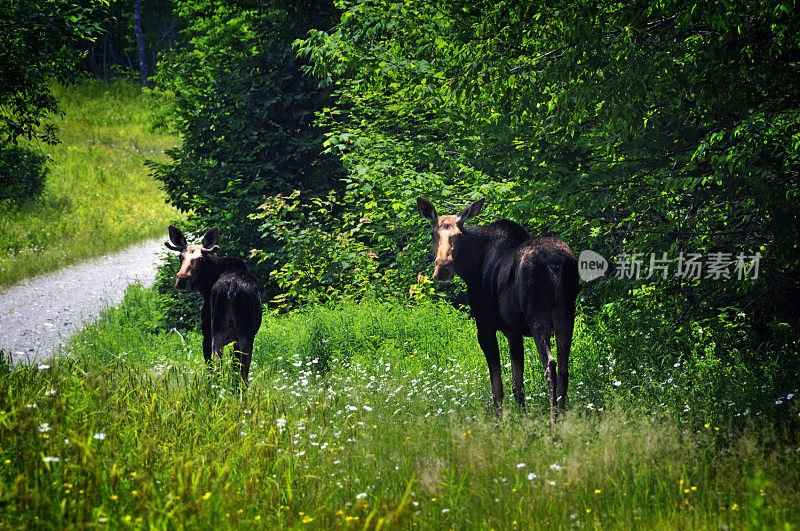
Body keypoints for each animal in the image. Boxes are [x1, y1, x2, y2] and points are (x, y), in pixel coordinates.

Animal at [166, 224, 262, 390]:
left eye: (200, 259)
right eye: (180, 257)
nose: (182, 280)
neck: (205, 288)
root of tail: (232, 286)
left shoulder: (206, 335)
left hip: (220, 333)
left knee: (220, 369)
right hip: (242, 334)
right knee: (239, 372)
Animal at [416, 197, 580, 426]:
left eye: (458, 235)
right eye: (433, 234)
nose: (443, 268)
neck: (471, 267)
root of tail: (556, 265)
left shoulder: (485, 327)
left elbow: (497, 387)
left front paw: (499, 427)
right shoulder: (514, 332)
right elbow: (518, 387)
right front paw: (523, 425)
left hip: (537, 315)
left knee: (550, 364)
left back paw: (554, 423)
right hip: (566, 312)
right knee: (565, 367)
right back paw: (564, 420)